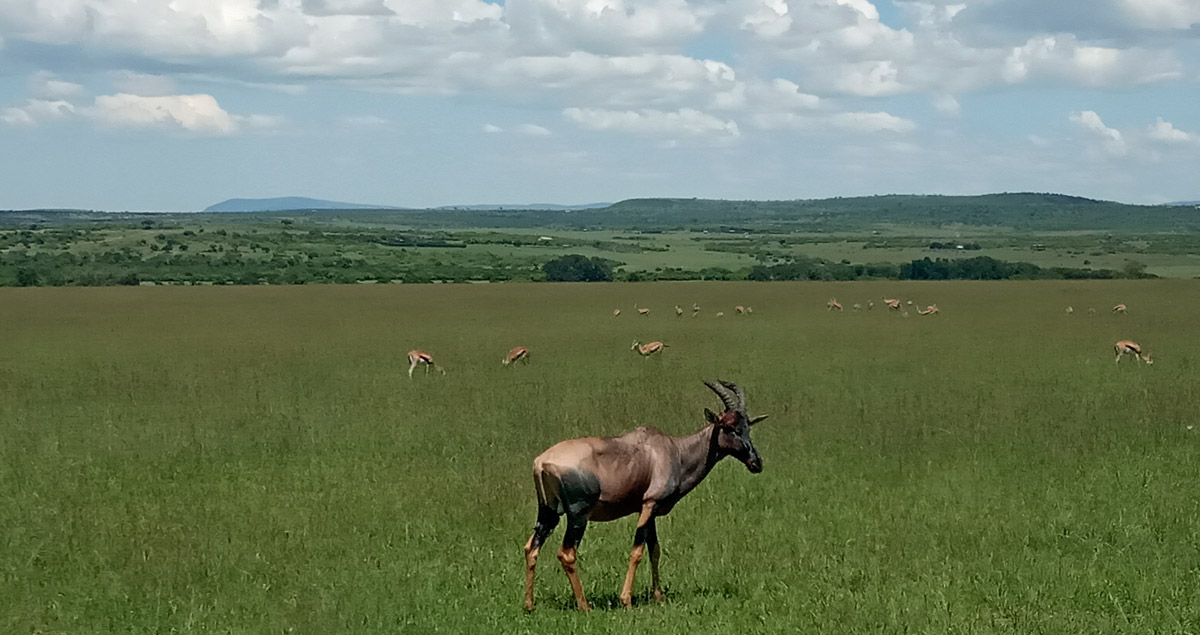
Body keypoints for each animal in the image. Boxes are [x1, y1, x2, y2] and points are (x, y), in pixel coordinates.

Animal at [523, 379, 768, 612]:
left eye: (747, 427)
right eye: (728, 427)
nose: (756, 463)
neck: (672, 450)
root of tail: (541, 462)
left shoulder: (649, 508)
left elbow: (654, 549)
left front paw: (658, 597)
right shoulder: (650, 504)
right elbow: (637, 551)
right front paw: (626, 600)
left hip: (548, 512)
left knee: (531, 547)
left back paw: (529, 604)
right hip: (578, 516)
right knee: (567, 554)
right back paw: (585, 606)